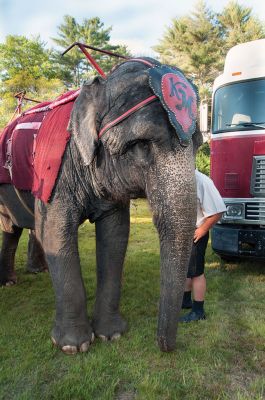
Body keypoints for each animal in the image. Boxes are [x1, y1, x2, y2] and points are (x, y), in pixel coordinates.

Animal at [0, 58, 201, 354]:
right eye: (141, 144)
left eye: (197, 145)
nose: (165, 346)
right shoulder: (57, 174)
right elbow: (57, 232)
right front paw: (74, 346)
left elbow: (116, 235)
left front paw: (111, 335)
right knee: (12, 227)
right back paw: (9, 282)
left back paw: (39, 271)